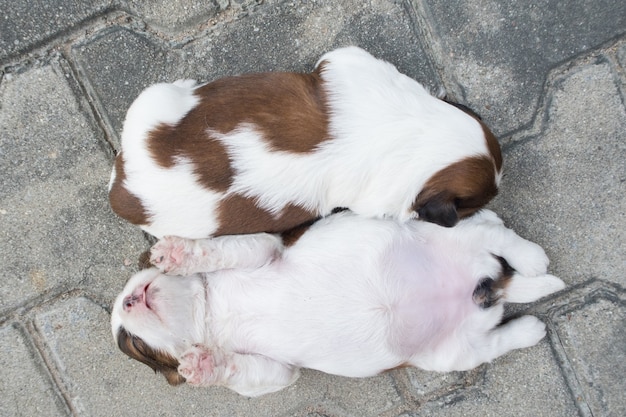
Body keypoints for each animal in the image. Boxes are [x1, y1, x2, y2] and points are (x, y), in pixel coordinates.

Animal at [109, 210, 564, 394]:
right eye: (133, 343)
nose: (128, 301)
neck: (210, 313)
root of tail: (489, 287)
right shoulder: (275, 370)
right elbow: (247, 370)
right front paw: (203, 365)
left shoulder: (263, 249)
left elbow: (221, 249)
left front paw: (178, 254)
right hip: (453, 354)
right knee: (496, 342)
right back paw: (530, 327)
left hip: (446, 233)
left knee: (495, 233)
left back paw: (532, 258)